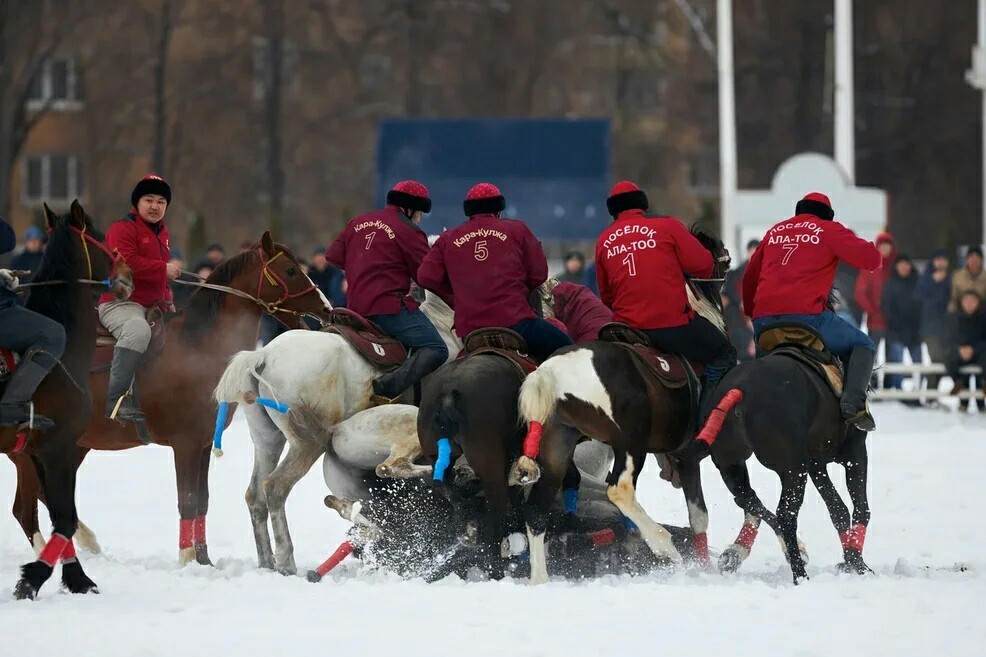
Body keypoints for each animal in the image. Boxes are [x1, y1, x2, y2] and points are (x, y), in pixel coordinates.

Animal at [4, 201, 133, 600]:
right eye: (99, 234)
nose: (127, 274)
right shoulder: (56, 448)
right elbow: (65, 518)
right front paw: (32, 578)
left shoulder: (39, 453)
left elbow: (61, 516)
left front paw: (76, 577)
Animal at [10, 231, 330, 564]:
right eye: (290, 270)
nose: (326, 308)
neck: (198, 346)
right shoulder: (185, 443)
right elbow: (187, 500)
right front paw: (188, 558)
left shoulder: (203, 443)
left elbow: (202, 501)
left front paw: (204, 560)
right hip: (31, 453)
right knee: (25, 510)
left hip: (71, 446)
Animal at [211, 290, 458, 572]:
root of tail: (263, 355)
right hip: (308, 442)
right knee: (276, 486)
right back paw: (286, 560)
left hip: (267, 440)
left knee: (255, 495)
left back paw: (267, 562)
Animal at [508, 223, 732, 580]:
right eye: (722, 260)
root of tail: (551, 372)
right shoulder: (686, 455)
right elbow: (699, 517)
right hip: (629, 443)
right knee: (619, 490)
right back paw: (663, 544)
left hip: (557, 447)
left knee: (536, 513)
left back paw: (540, 579)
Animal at [676, 320, 868, 580]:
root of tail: (739, 390)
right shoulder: (854, 453)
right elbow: (859, 507)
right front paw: (858, 564)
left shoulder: (815, 463)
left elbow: (837, 509)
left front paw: (850, 561)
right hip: (792, 467)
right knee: (786, 514)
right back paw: (799, 574)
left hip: (731, 461)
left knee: (746, 498)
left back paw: (737, 553)